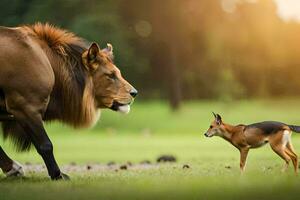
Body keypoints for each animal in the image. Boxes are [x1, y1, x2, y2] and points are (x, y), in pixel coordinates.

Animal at [0, 23, 138, 180]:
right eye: (110, 75)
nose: (134, 93)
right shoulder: (26, 106)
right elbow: (45, 145)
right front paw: (57, 174)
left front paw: (13, 169)